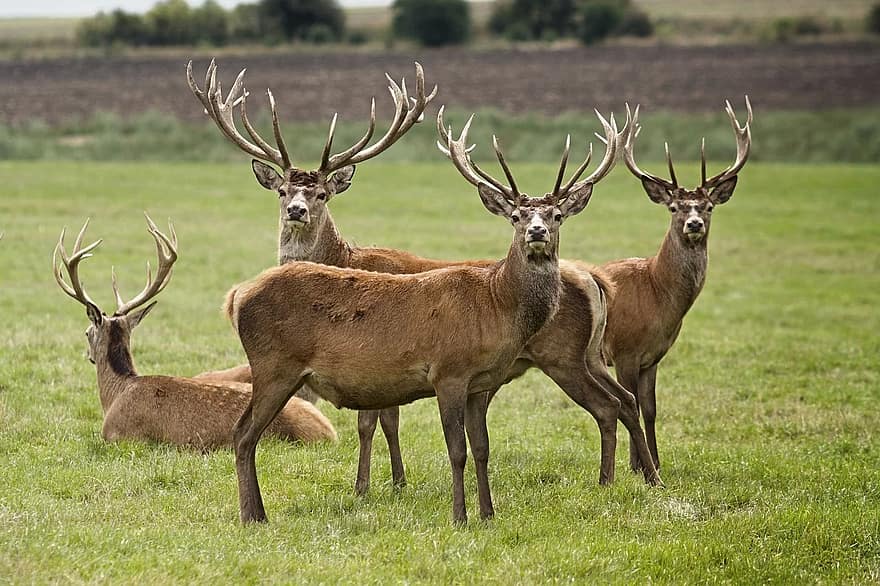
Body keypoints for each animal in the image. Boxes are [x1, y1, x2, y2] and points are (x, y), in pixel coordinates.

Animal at [189, 58, 436, 488]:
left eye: (322, 194)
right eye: (282, 191)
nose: (296, 210)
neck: (347, 258)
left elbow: (372, 422)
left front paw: (367, 486)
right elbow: (389, 419)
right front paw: (397, 482)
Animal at [604, 96, 756, 470]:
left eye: (709, 206)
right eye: (674, 207)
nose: (694, 224)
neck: (657, 295)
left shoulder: (653, 357)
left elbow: (651, 409)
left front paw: (655, 462)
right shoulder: (624, 350)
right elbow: (630, 403)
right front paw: (637, 465)